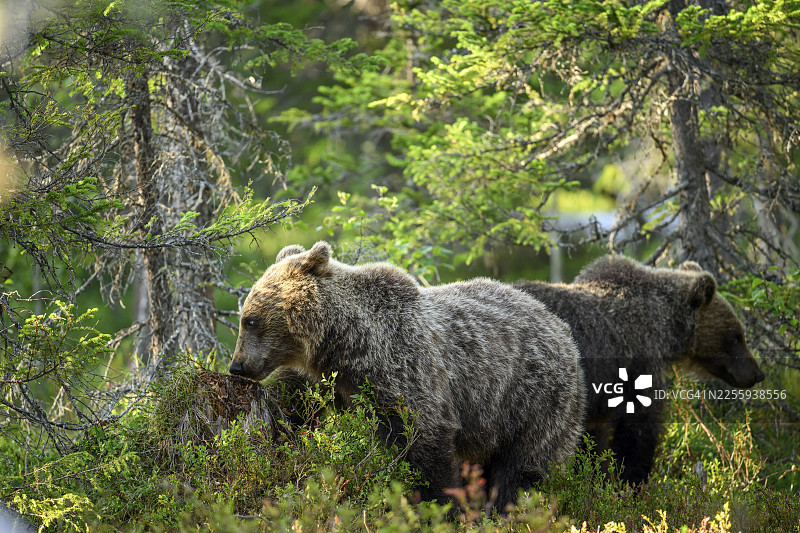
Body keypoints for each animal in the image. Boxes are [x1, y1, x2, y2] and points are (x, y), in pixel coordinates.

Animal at [229, 241, 586, 510]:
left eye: (250, 320)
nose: (237, 366)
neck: (346, 342)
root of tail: (560, 327)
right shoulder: (328, 379)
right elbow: (292, 402)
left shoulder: (407, 368)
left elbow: (424, 438)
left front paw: (439, 506)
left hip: (532, 399)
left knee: (523, 466)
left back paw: (506, 508)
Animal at [513, 256, 764, 487]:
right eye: (736, 336)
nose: (757, 374)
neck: (665, 329)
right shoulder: (637, 365)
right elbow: (638, 430)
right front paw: (630, 481)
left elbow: (594, 440)